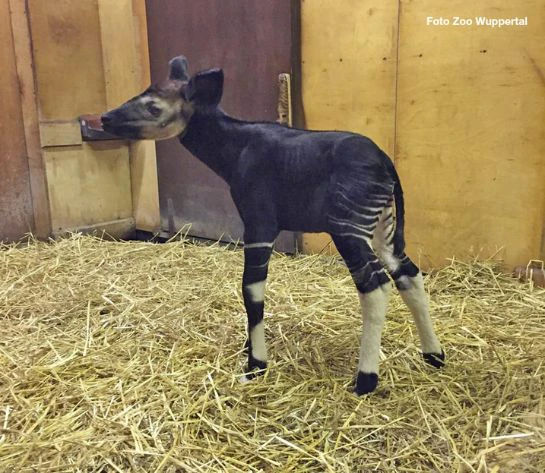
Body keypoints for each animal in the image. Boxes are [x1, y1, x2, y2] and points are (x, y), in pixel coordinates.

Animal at [101, 56, 442, 394]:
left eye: (153, 107)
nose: (104, 118)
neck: (235, 149)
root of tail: (385, 162)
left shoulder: (259, 224)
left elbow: (251, 290)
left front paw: (255, 364)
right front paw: (249, 349)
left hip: (347, 228)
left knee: (375, 286)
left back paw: (365, 379)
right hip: (382, 225)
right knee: (408, 273)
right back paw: (434, 355)